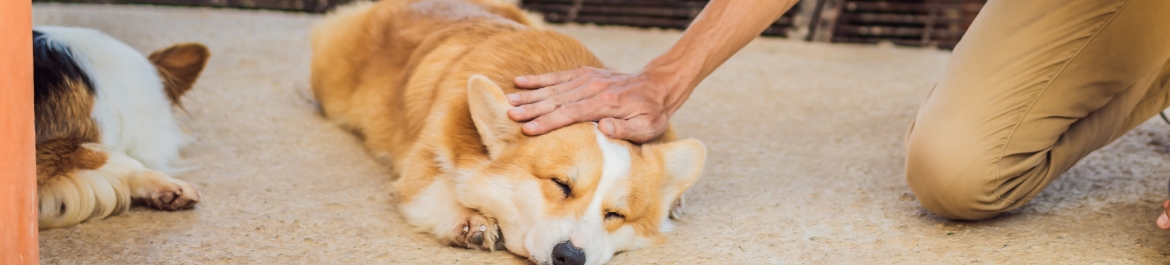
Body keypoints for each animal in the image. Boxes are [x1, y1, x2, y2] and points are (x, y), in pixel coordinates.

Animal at [311, 1, 702, 263]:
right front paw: (470, 220)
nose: (570, 257)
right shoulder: (421, 166)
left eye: (616, 215)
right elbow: (437, 189)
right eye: (561, 185)